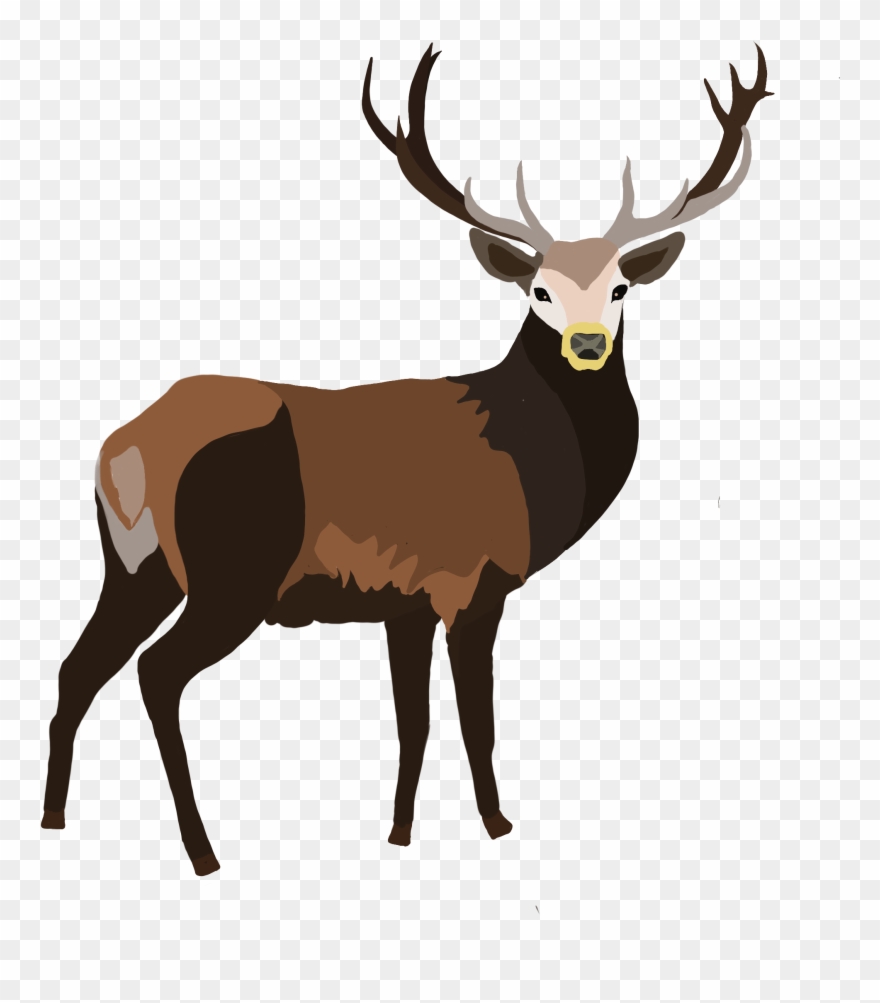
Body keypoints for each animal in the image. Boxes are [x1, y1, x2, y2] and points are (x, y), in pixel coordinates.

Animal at [42, 44, 771, 875]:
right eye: (540, 291)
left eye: (620, 288)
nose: (587, 345)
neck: (530, 464)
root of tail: (125, 449)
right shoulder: (475, 580)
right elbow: (476, 717)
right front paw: (497, 824)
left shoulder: (405, 597)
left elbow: (412, 721)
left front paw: (399, 831)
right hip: (233, 572)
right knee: (156, 673)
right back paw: (203, 851)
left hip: (136, 565)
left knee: (77, 666)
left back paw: (54, 817)